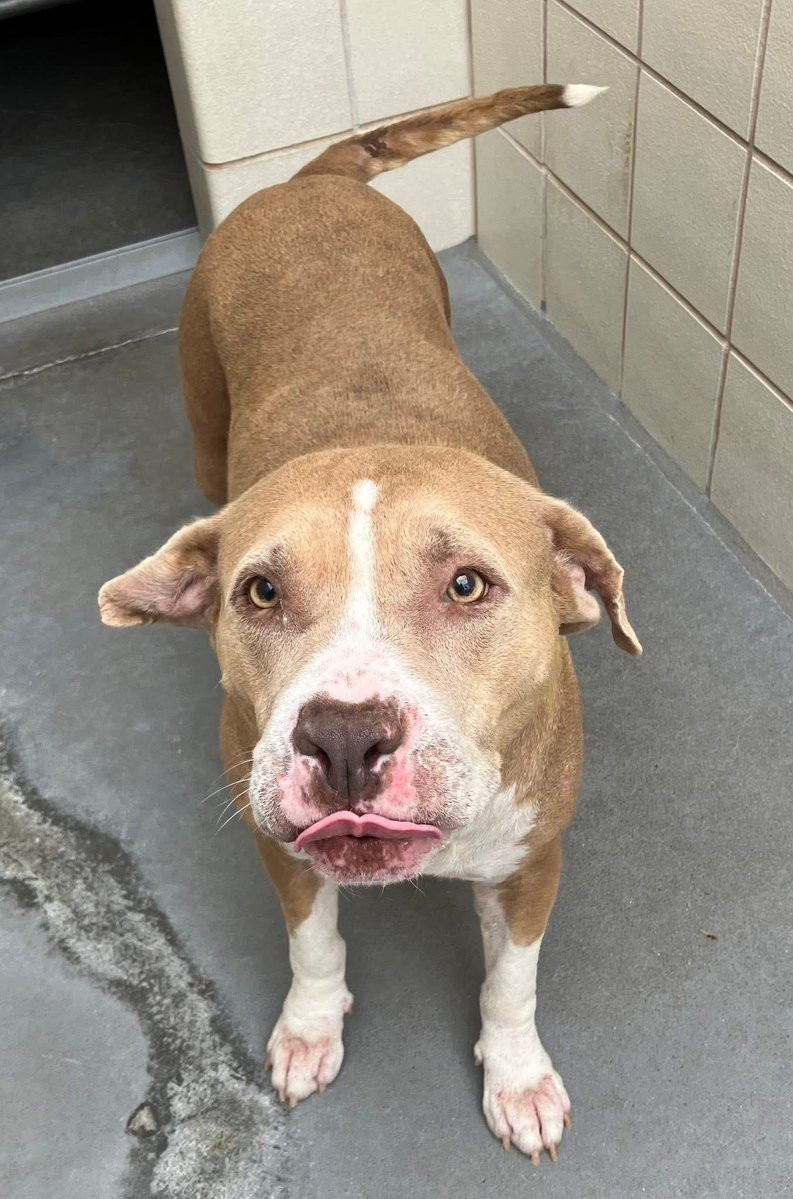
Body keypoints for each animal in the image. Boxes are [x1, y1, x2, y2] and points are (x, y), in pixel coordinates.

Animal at [98, 83, 641, 1163]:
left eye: (467, 585)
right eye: (260, 593)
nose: (345, 736)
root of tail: (311, 182)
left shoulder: (532, 861)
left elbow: (510, 981)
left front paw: (517, 1077)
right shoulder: (278, 844)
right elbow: (313, 942)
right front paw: (309, 1028)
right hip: (203, 415)